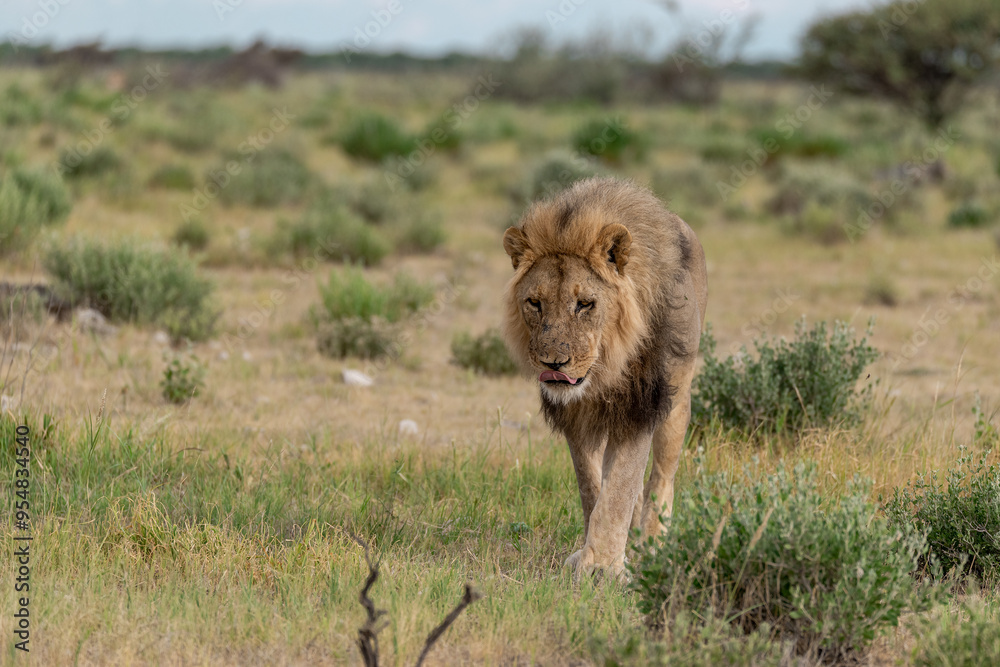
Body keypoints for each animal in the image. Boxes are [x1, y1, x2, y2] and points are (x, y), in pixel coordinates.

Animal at [504, 177, 708, 580]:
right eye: (534, 303)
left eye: (585, 304)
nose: (554, 363)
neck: (605, 369)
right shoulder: (577, 417)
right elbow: (592, 484)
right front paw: (594, 555)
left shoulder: (639, 407)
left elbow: (620, 487)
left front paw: (602, 568)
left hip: (678, 398)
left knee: (661, 477)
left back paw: (653, 544)